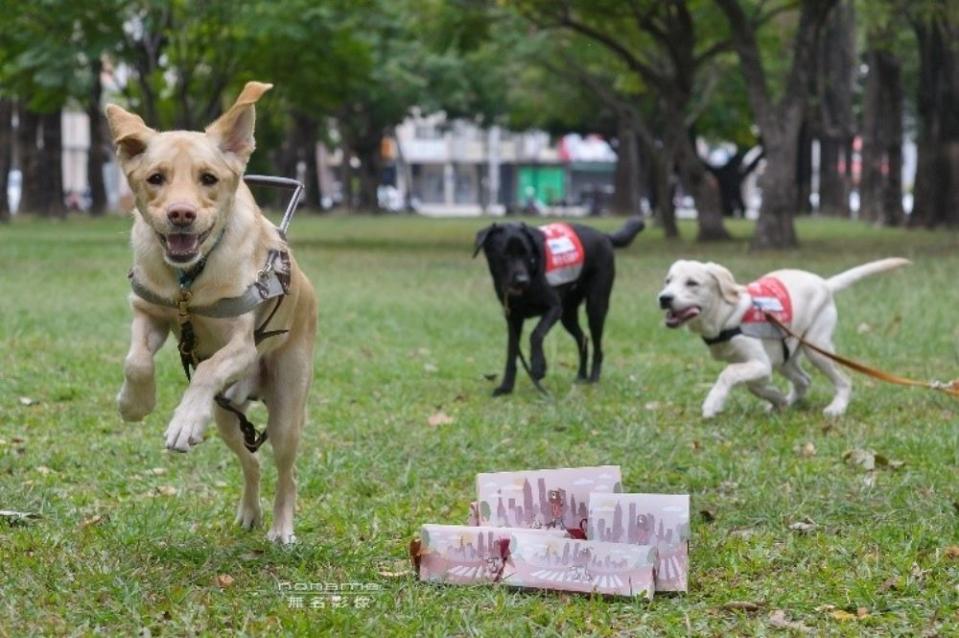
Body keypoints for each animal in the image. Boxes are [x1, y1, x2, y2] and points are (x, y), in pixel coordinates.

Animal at [474, 218, 644, 396]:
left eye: (527, 253)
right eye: (505, 254)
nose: (522, 280)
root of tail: (604, 235)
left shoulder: (554, 308)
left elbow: (536, 334)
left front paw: (538, 367)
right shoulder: (513, 319)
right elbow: (511, 354)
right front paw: (506, 387)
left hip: (595, 308)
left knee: (598, 348)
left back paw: (593, 378)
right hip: (567, 315)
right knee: (583, 339)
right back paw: (581, 376)